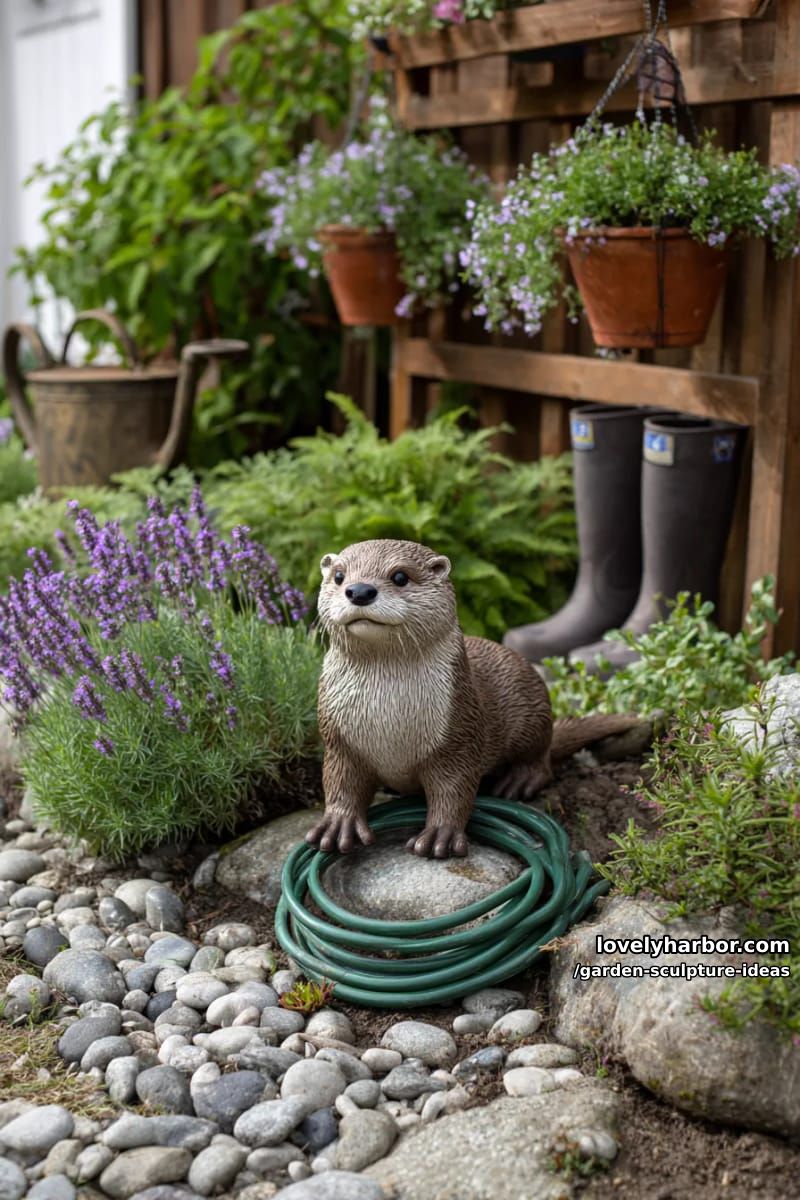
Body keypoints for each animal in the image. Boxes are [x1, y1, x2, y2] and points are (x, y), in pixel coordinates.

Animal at [307, 538, 639, 859]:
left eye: (400, 576)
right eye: (339, 575)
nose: (360, 590)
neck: (387, 720)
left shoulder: (459, 734)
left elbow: (454, 790)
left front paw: (439, 835)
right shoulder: (339, 741)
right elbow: (340, 783)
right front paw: (337, 826)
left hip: (532, 713)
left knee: (541, 759)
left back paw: (518, 782)